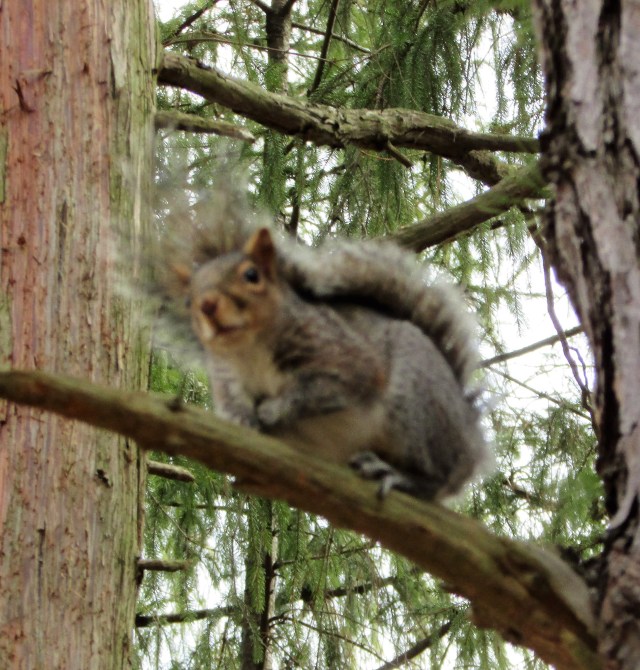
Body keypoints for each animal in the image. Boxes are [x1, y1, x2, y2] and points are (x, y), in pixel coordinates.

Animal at [154, 186, 489, 501]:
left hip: (416, 403)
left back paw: (398, 476)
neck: (249, 349)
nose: (207, 306)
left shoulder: (339, 354)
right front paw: (241, 419)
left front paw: (274, 410)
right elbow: (234, 405)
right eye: (187, 300)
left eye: (251, 275)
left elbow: (327, 388)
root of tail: (471, 440)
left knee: (435, 479)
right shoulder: (226, 377)